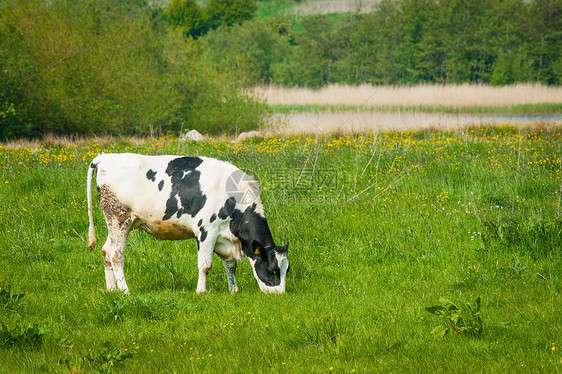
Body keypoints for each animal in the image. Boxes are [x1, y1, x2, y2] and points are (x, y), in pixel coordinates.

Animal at [88, 153, 288, 294]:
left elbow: (231, 265)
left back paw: (111, 289)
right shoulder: (206, 231)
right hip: (118, 218)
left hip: (119, 223)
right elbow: (205, 265)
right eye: (273, 270)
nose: (280, 295)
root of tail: (106, 156)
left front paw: (234, 290)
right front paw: (201, 291)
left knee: (106, 251)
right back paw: (125, 290)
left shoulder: (224, 238)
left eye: (286, 269)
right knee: (116, 255)